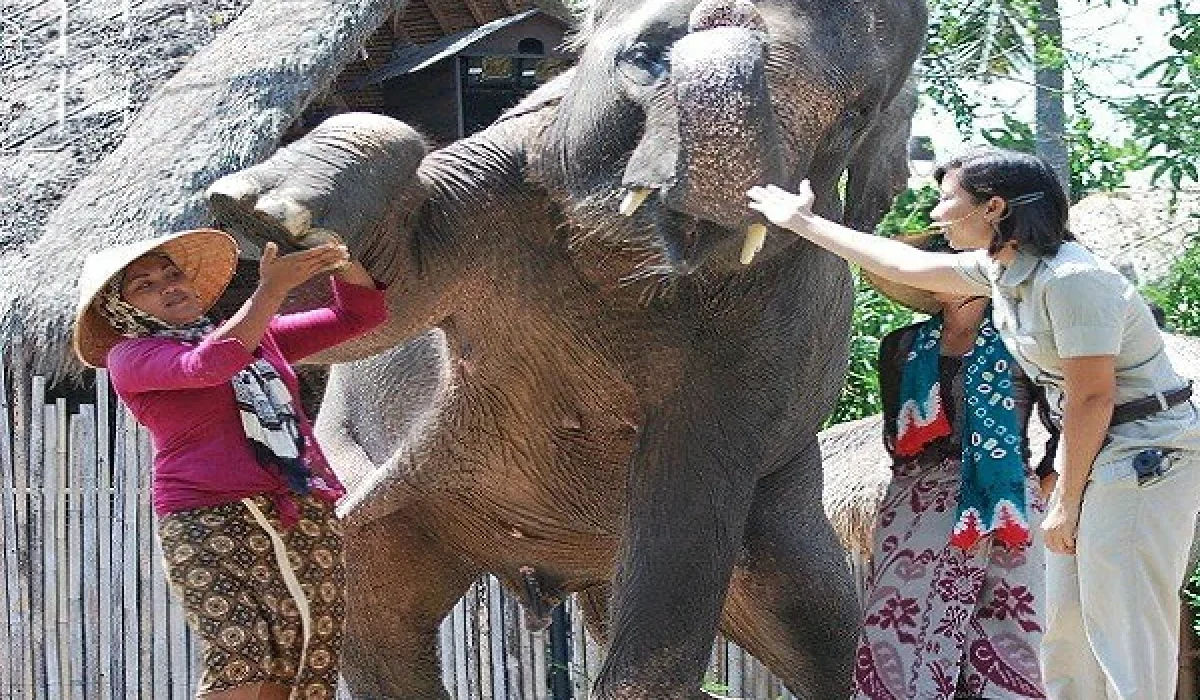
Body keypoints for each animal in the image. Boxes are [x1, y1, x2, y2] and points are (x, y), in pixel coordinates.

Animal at [206, 0, 927, 697]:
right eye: (647, 54)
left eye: (856, 115)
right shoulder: (505, 174)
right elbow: (388, 293)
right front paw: (264, 216)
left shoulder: (782, 324)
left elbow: (688, 500)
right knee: (375, 627)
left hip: (790, 505)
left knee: (827, 634)